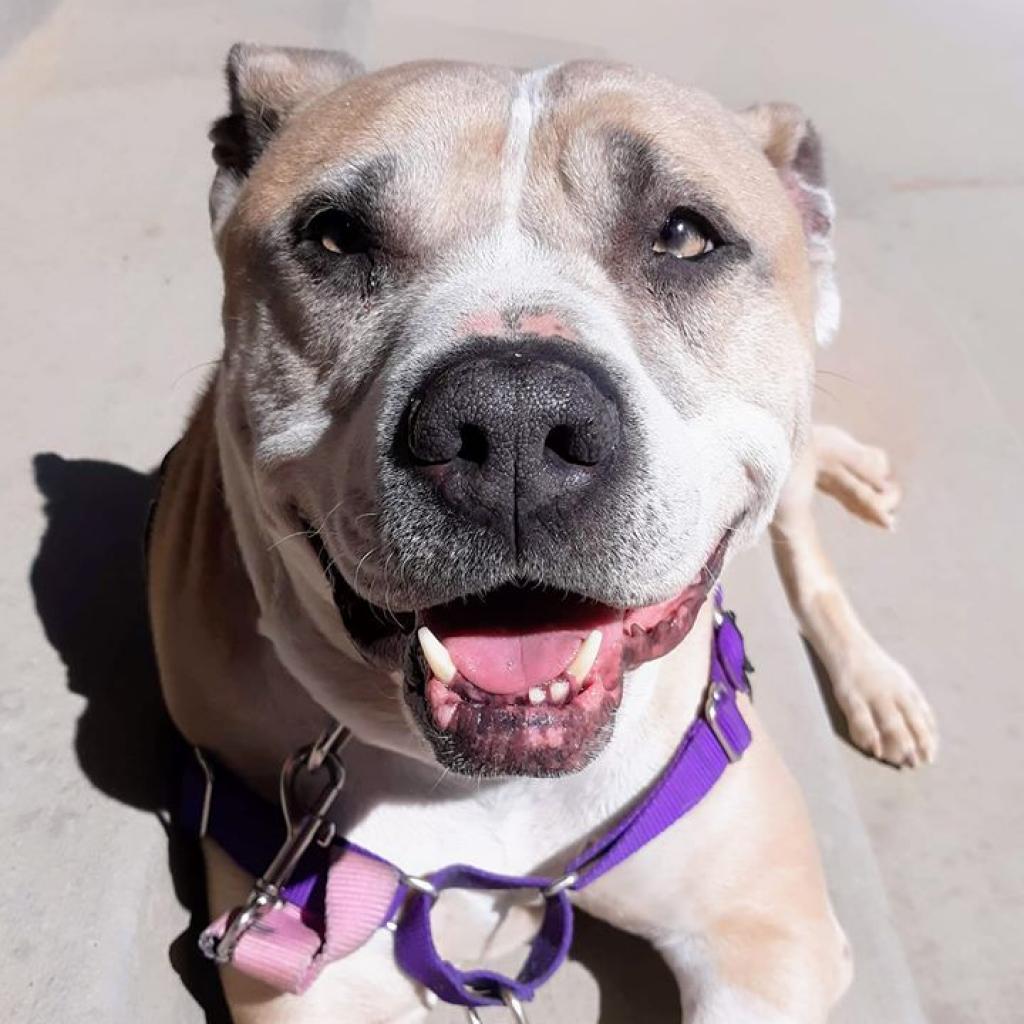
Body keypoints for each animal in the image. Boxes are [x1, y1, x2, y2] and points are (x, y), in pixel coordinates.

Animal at [146, 44, 937, 1019]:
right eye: (334, 237)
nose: (514, 419)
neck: (495, 788)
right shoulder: (304, 972)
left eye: (686, 236)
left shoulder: (769, 929)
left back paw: (875, 671)